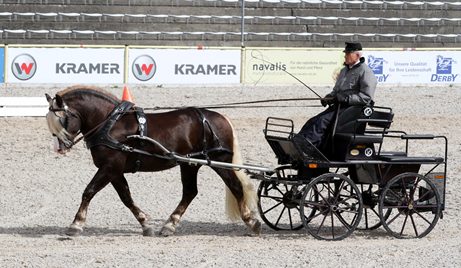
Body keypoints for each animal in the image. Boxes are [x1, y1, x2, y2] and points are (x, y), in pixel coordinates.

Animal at [45, 86, 260, 237]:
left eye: (62, 119)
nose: (59, 148)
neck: (110, 124)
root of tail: (220, 117)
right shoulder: (115, 171)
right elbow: (126, 197)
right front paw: (145, 224)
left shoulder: (110, 167)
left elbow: (89, 191)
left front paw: (76, 224)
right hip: (190, 164)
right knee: (190, 192)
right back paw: (169, 225)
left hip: (218, 161)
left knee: (236, 187)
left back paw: (252, 222)